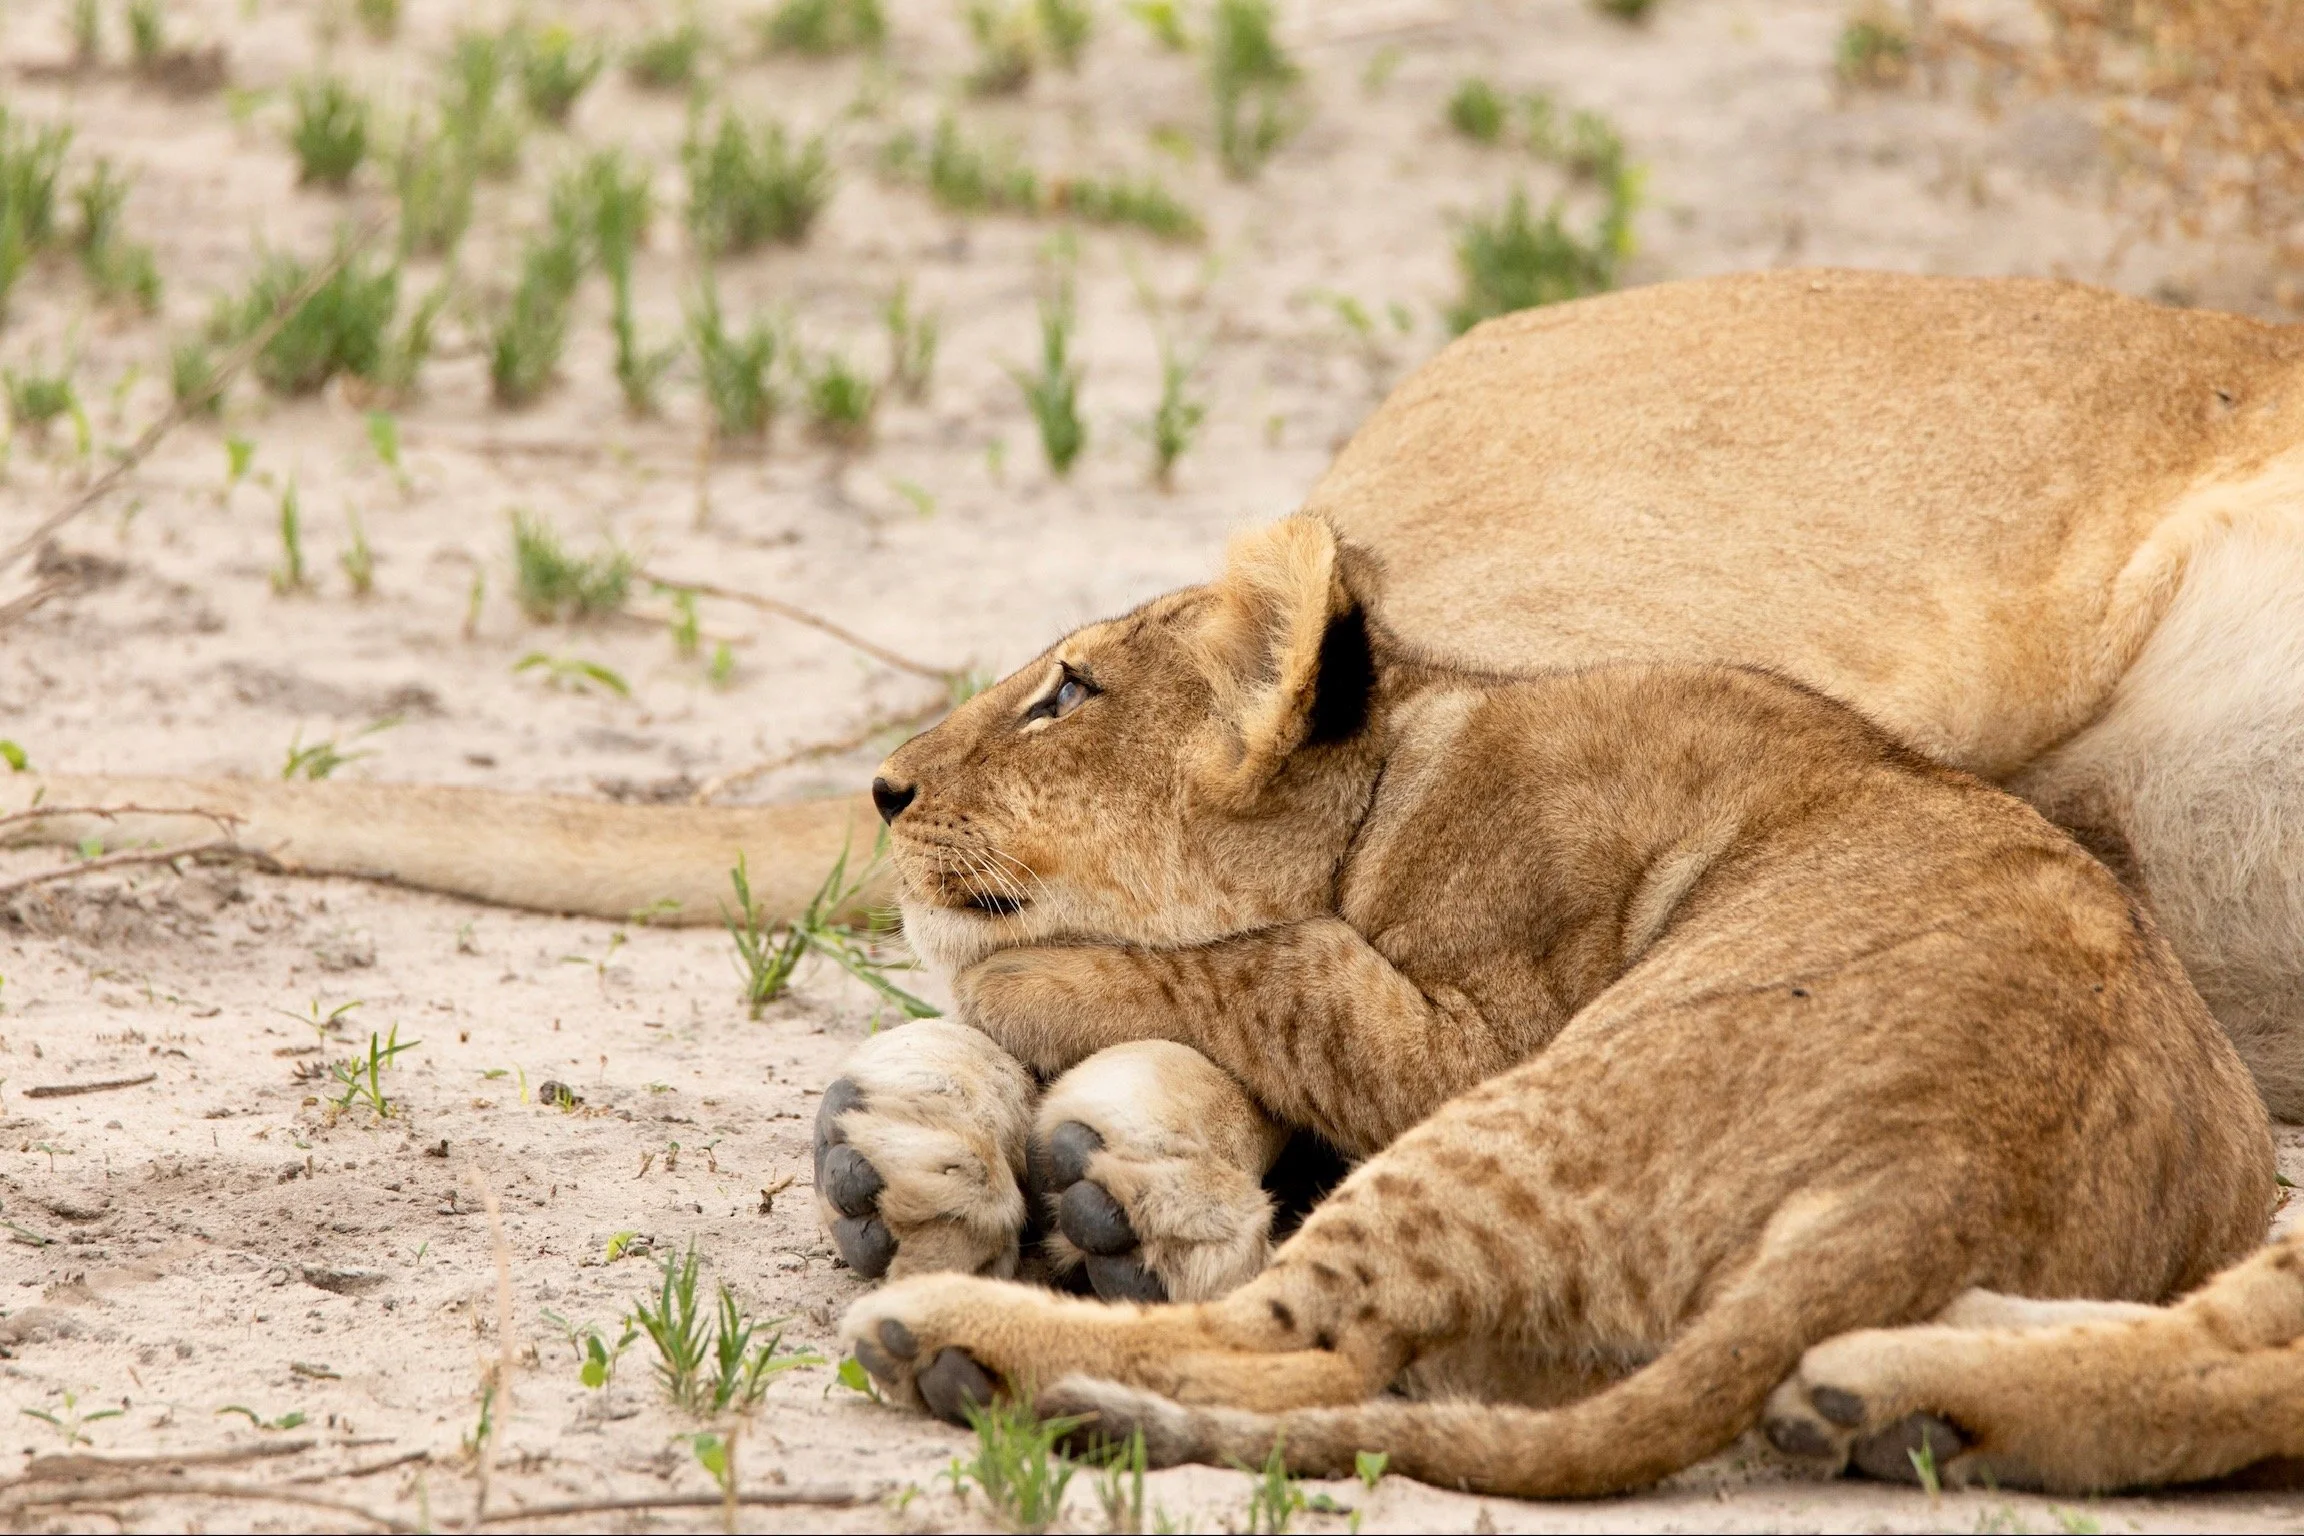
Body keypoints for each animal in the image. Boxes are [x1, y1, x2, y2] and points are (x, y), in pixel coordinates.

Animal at [826, 513, 2281, 1497]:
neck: (1405, 764)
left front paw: (1015, 983)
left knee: (1291, 1346)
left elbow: (1273, 963)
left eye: (1066, 693)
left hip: (1516, 1119)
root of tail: (1933, 1183)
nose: (883, 789)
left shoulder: (1472, 1036)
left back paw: (947, 1342)